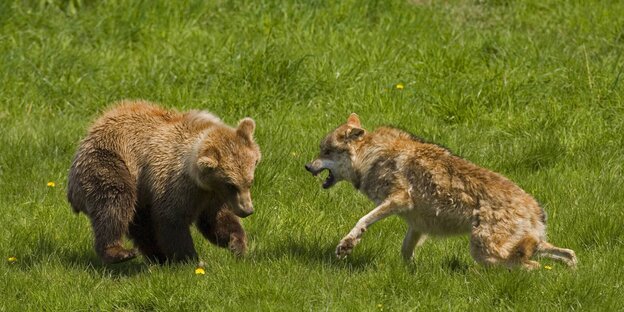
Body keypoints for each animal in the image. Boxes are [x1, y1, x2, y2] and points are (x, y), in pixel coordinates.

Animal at [68, 100, 260, 264]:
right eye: (231, 184)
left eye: (249, 181)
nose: (247, 210)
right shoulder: (174, 182)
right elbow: (171, 220)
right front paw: (192, 259)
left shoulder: (210, 195)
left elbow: (216, 219)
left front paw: (237, 244)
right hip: (110, 163)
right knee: (115, 202)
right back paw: (120, 252)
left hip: (141, 194)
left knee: (141, 225)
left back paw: (157, 256)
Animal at [304, 113, 576, 270]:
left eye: (325, 151)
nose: (307, 166)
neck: (371, 155)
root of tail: (536, 209)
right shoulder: (417, 225)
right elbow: (406, 252)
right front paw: (411, 273)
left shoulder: (399, 199)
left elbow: (362, 221)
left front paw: (346, 245)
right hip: (527, 245)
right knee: (569, 254)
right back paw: (571, 272)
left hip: (485, 252)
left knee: (533, 267)